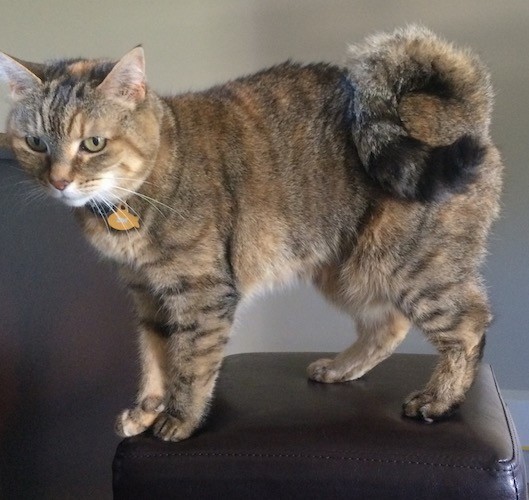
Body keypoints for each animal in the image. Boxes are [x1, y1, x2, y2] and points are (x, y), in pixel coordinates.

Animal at [0, 26, 502, 442]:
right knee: (389, 325)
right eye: (35, 144)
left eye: (93, 144)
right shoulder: (148, 296)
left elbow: (191, 365)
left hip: (411, 266)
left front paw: (179, 419)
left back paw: (438, 399)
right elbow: (155, 362)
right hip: (350, 273)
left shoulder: (202, 294)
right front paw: (147, 410)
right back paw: (341, 368)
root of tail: (464, 111)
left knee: (470, 325)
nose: (58, 181)